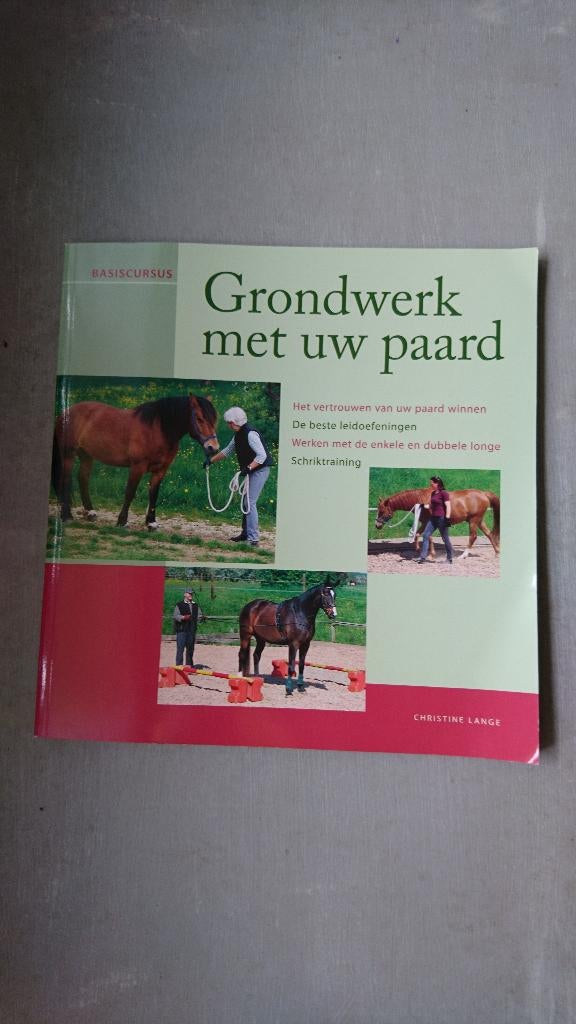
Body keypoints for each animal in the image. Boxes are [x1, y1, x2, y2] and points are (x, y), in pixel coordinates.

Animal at [52, 394, 219, 528]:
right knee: (65, 480)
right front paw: (122, 522)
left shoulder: (160, 470)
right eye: (199, 419)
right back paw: (67, 516)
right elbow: (130, 492)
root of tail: (66, 412)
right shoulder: (137, 467)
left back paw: (90, 512)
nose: (213, 448)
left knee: (83, 478)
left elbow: (154, 494)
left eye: (214, 420)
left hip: (86, 455)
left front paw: (151, 523)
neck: (157, 430)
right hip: (68, 456)